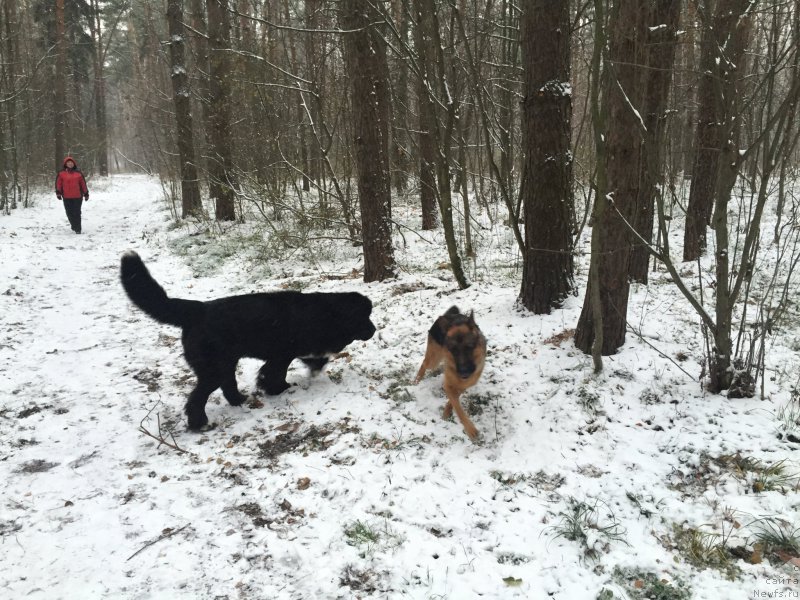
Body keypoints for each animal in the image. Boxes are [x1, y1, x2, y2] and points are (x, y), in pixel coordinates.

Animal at [120, 251, 376, 428]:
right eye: (364, 317)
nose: (374, 330)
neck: (326, 313)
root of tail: (197, 309)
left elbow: (313, 359)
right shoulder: (281, 355)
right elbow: (274, 373)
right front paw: (278, 389)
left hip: (225, 362)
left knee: (227, 384)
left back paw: (238, 400)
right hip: (213, 367)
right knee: (198, 396)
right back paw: (199, 423)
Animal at [412, 308, 488, 438]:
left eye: (469, 347)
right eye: (453, 350)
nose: (464, 372)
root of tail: (449, 315)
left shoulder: (464, 384)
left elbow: (455, 398)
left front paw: (447, 410)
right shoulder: (448, 385)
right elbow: (458, 408)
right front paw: (470, 429)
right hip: (434, 359)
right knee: (424, 363)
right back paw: (417, 380)